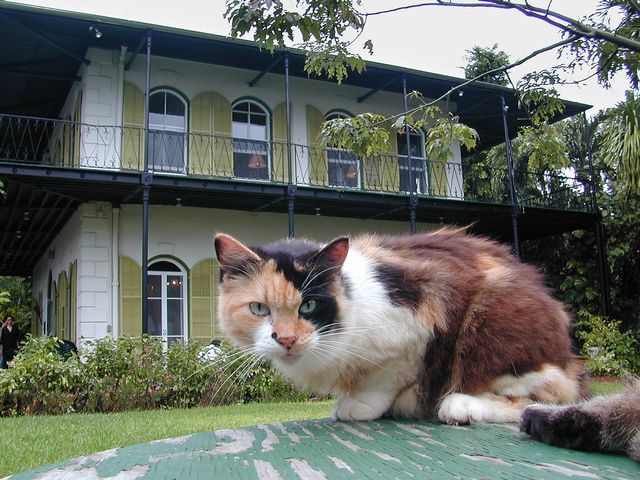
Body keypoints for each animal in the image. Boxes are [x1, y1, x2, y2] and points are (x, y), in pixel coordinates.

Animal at [215, 229, 584, 424]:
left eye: (309, 306)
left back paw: (459, 406)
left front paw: (358, 406)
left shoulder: (417, 331)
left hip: (492, 331)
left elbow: (382, 380)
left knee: (545, 400)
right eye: (259, 309)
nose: (287, 339)